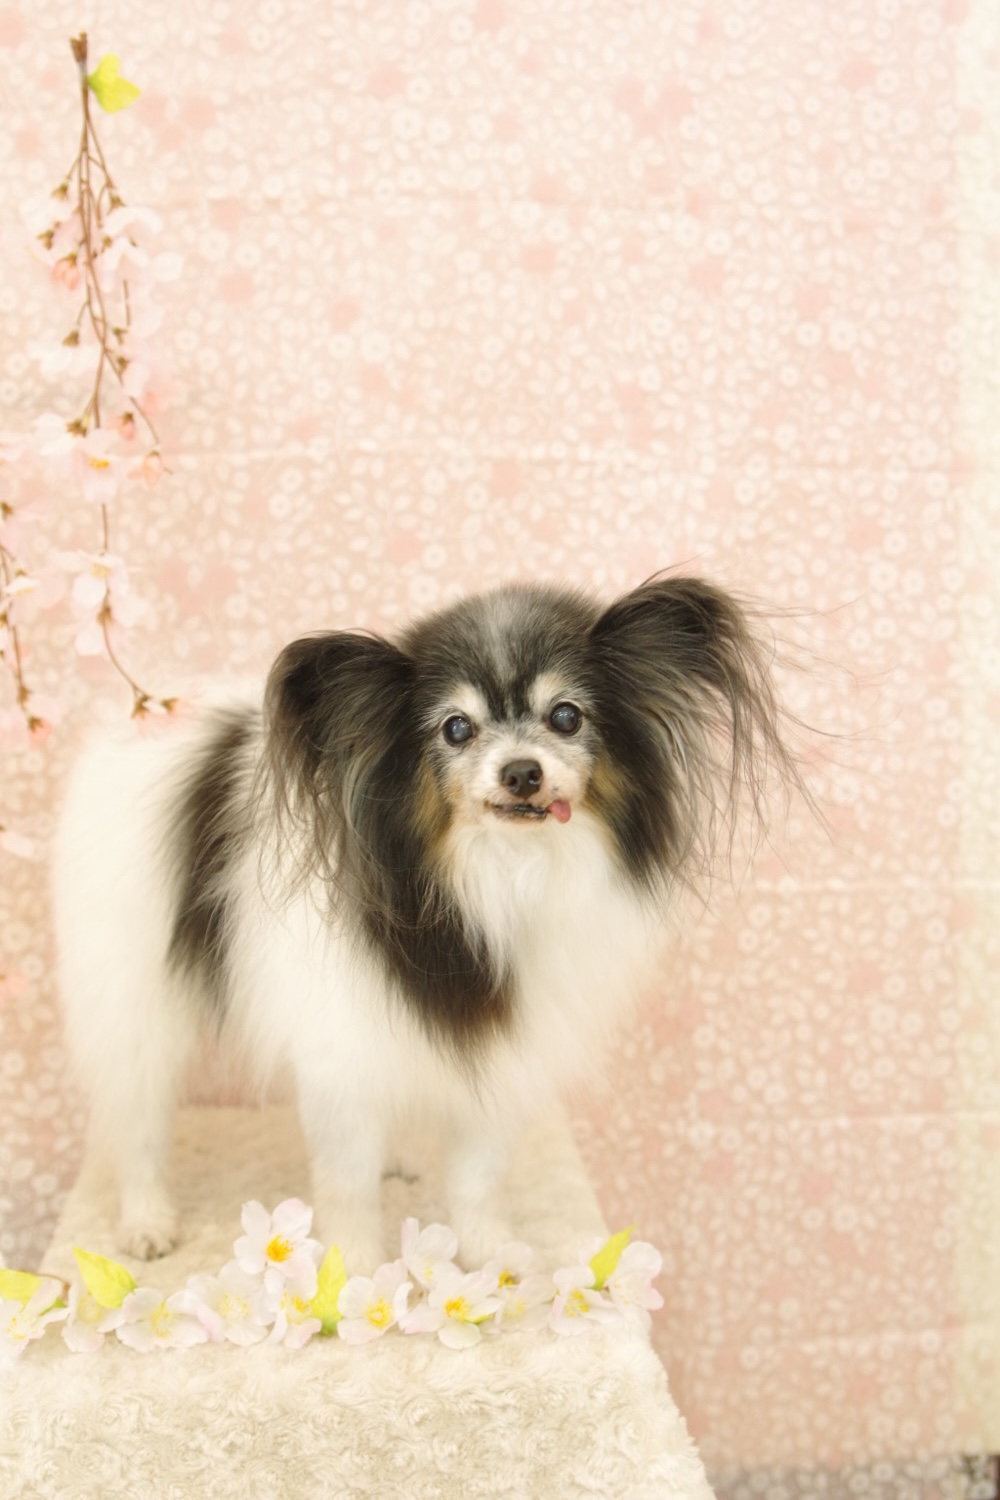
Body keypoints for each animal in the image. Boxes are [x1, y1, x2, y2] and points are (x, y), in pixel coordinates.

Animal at [52, 575, 798, 1270]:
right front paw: (352, 1269)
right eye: (456, 728)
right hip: (137, 1003)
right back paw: (147, 1224)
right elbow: (346, 1184)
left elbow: (476, 1176)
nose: (521, 772)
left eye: (565, 716)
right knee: (138, 1123)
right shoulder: (340, 1050)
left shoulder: (503, 1051)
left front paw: (489, 1254)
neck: (495, 877)